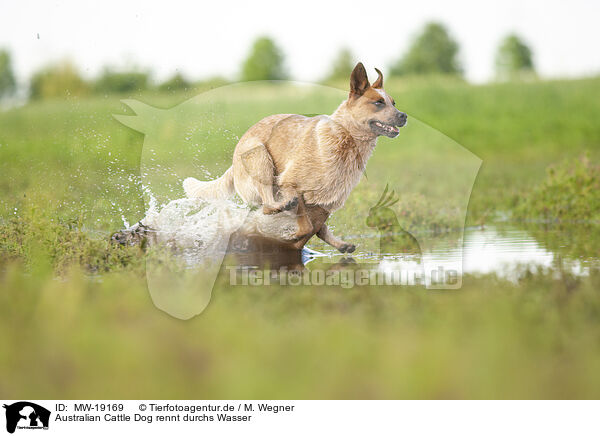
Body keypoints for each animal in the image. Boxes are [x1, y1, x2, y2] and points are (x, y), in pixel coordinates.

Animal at [183, 61, 408, 252]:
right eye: (378, 103)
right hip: (260, 156)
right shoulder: (291, 185)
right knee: (267, 207)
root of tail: (233, 161)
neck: (345, 137)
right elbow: (306, 226)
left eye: (394, 102)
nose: (404, 115)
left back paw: (341, 245)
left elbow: (314, 228)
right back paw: (279, 210)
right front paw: (290, 240)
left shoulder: (326, 201)